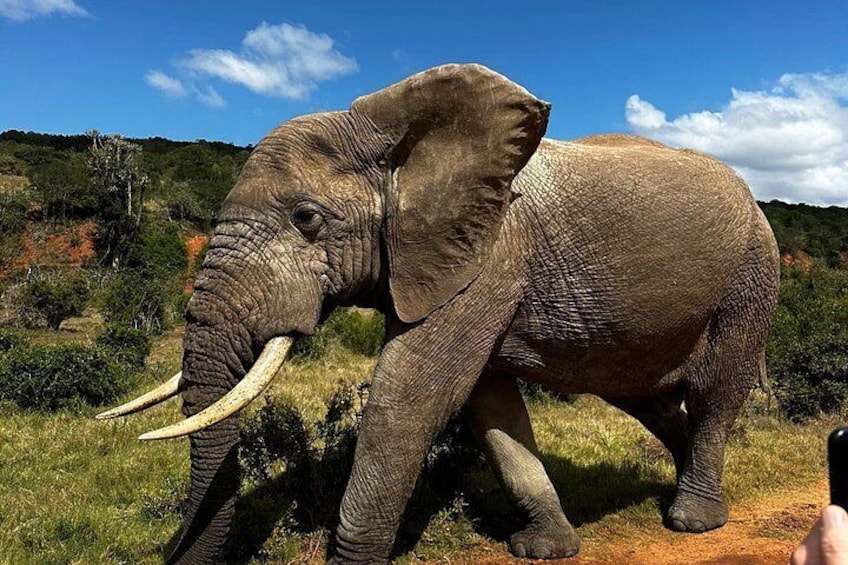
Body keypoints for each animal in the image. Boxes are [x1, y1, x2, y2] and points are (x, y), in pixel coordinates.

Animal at [98, 63, 780, 563]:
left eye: (307, 219)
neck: (391, 132)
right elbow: (488, 406)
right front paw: (545, 550)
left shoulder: (492, 254)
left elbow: (411, 398)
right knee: (648, 398)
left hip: (752, 273)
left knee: (716, 389)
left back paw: (693, 519)